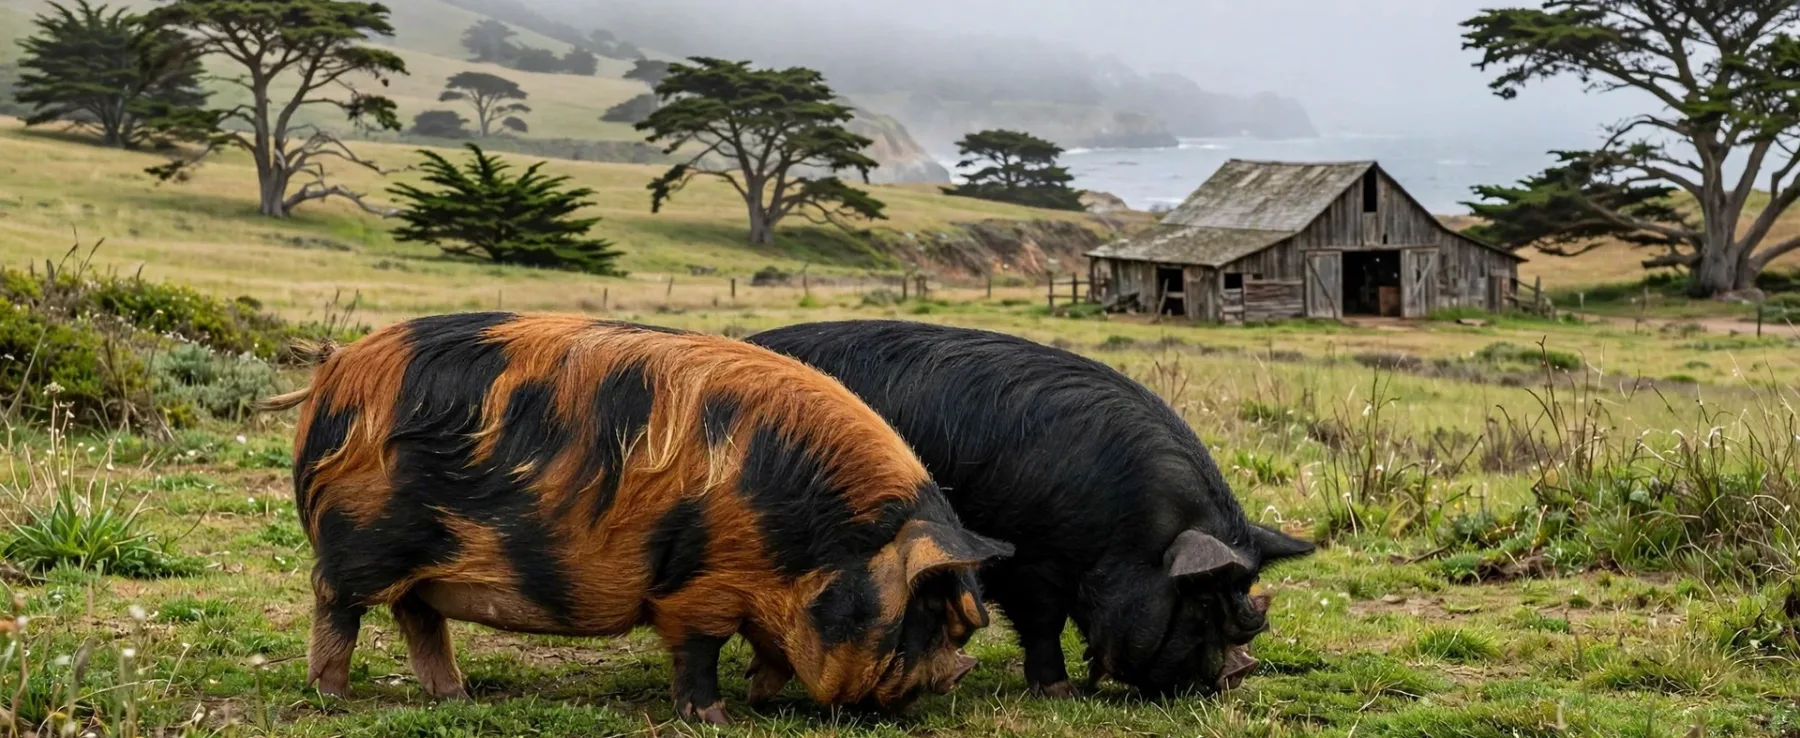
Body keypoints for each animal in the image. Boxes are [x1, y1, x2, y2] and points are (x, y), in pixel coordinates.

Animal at [266, 313, 1014, 724]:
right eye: (925, 611)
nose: (956, 676)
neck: (813, 542)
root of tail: (336, 370)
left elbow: (773, 651)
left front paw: (762, 698)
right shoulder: (700, 588)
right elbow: (699, 652)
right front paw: (716, 718)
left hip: (419, 563)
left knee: (419, 617)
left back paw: (459, 698)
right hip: (360, 544)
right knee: (335, 602)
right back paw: (332, 696)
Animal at [747, 320, 1316, 697]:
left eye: (1245, 596)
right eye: (1199, 601)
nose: (1234, 675)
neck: (1125, 529)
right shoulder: (1029, 560)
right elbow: (1043, 623)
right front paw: (1059, 690)